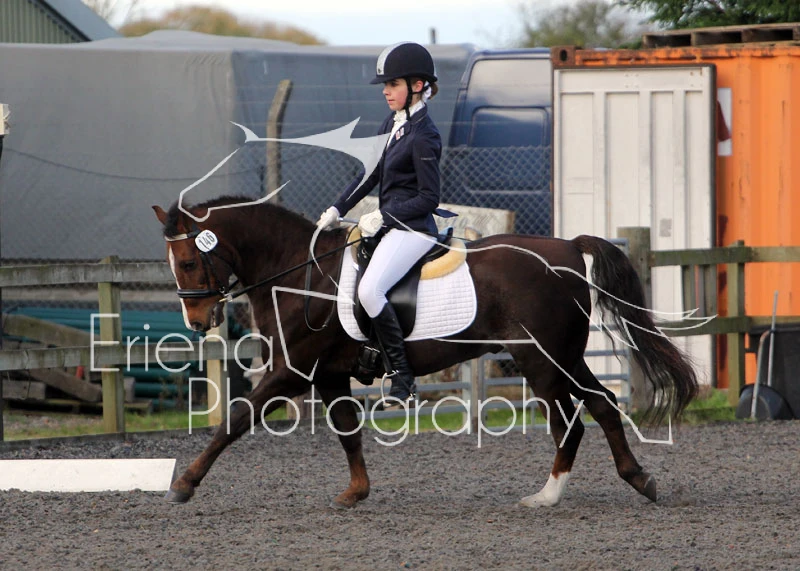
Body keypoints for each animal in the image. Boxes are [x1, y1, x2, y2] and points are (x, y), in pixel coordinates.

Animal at [152, 196, 698, 508]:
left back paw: (546, 496)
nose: (197, 323)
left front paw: (184, 485)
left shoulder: (292, 371)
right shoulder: (328, 374)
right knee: (602, 405)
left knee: (573, 422)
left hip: (541, 361)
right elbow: (347, 430)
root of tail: (565, 247)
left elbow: (234, 420)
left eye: (187, 260)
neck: (299, 273)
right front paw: (355, 493)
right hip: (564, 357)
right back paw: (637, 480)